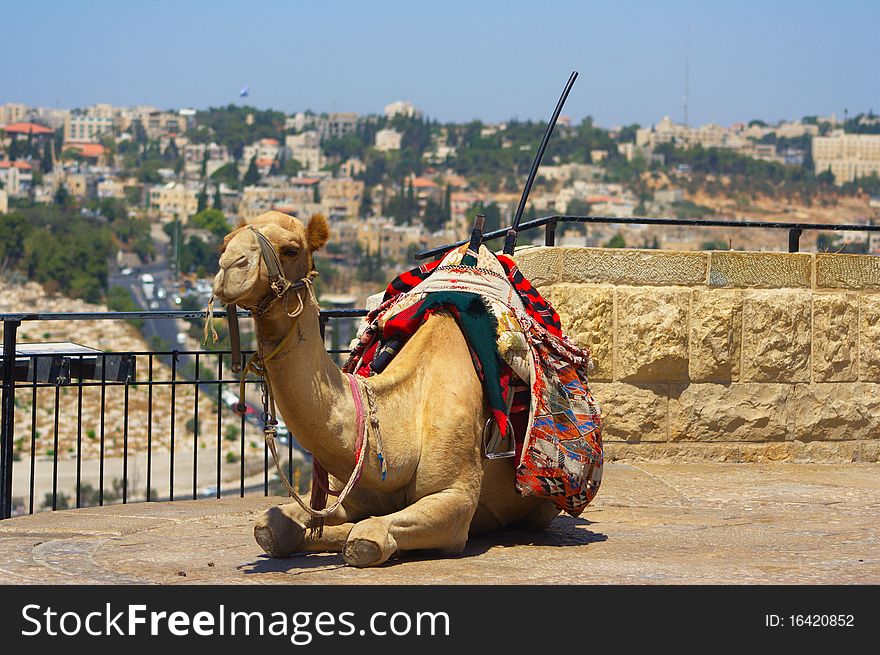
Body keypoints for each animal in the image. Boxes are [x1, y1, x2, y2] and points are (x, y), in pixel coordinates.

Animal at [213, 211, 556, 568]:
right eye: (225, 243)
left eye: (291, 249)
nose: (229, 266)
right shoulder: (353, 490)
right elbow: (271, 526)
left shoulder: (455, 499)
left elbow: (365, 537)